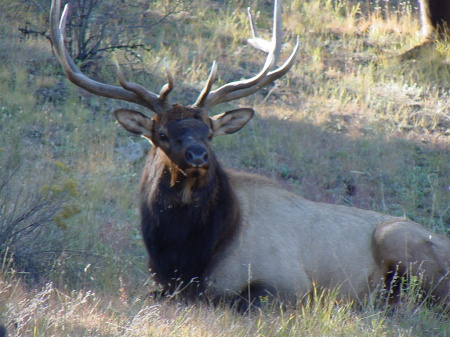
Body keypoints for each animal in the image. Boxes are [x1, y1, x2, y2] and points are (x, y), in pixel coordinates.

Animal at [50, 0, 450, 310]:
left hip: (397, 239)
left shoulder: (288, 283)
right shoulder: (160, 282)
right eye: (161, 134)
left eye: (209, 132)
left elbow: (234, 301)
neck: (187, 256)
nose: (198, 156)